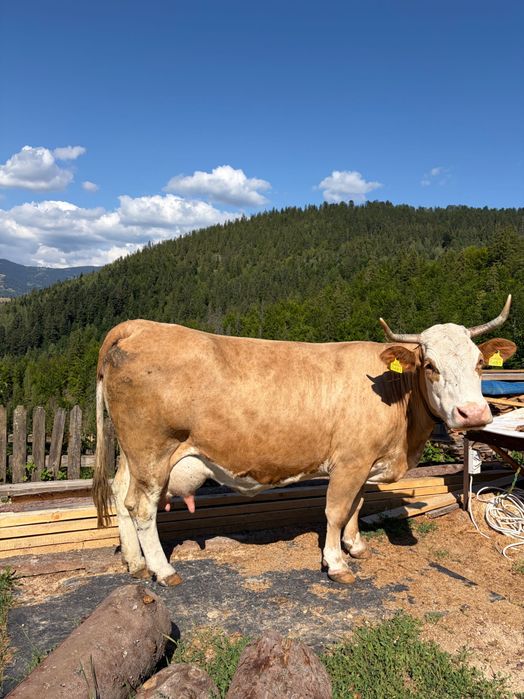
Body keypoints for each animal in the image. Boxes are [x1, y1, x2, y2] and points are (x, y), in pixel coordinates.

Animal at [93, 296, 516, 586]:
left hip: (134, 454)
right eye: (430, 365)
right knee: (141, 507)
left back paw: (135, 563)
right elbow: (335, 511)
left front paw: (355, 546)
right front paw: (337, 563)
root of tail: (138, 326)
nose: (473, 414)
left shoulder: (365, 463)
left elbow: (356, 506)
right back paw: (163, 570)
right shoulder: (350, 461)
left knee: (120, 493)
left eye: (480, 362)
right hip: (152, 450)